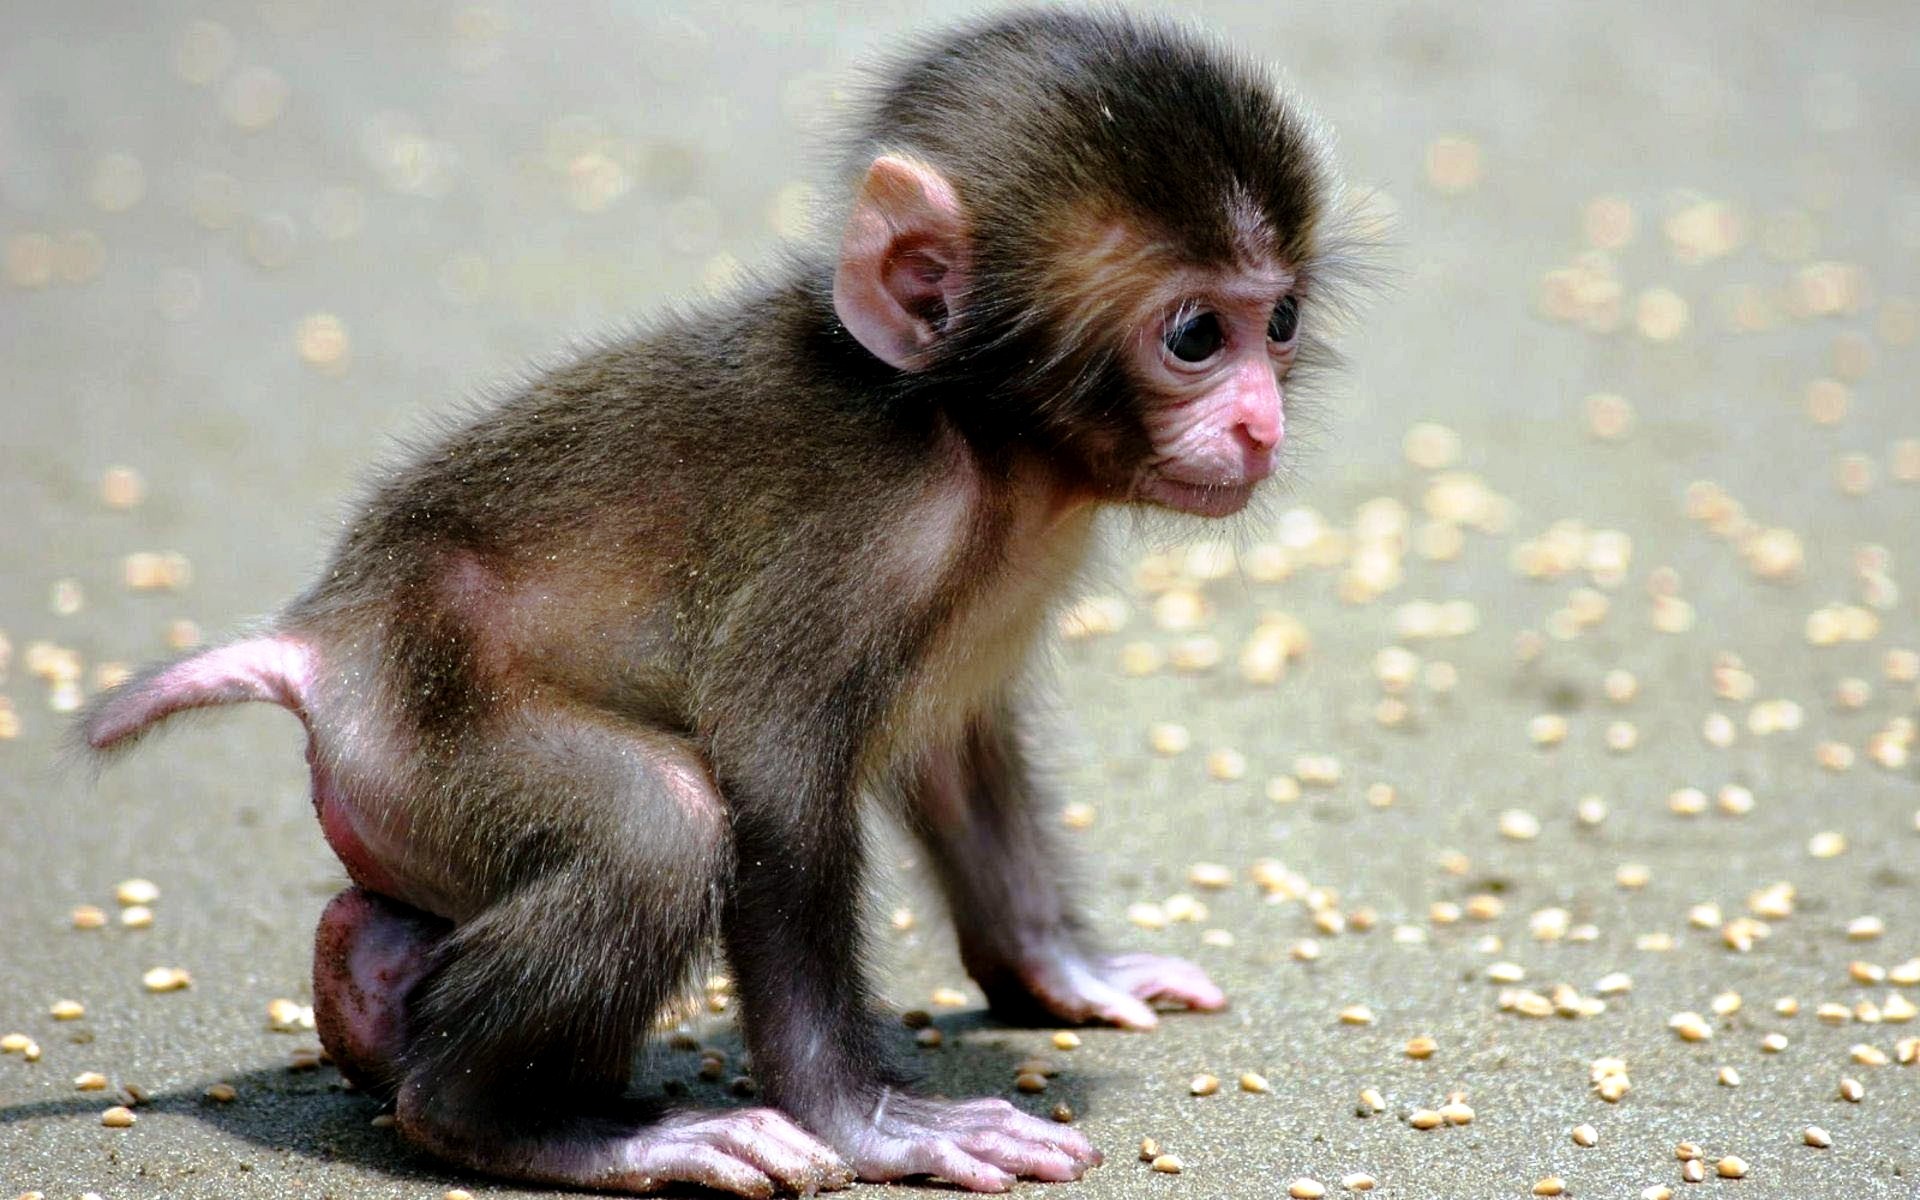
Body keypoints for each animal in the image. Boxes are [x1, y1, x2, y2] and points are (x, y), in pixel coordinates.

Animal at [80, 9, 1356, 1196]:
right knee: (660, 824)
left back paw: (371, 992)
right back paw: (523, 1124)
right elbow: (772, 774)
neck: (982, 440)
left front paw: (1061, 972)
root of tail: (324, 639)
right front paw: (870, 1122)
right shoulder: (867, 538)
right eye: (1195, 335)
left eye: (1280, 320)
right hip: (418, 733)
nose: (1260, 423)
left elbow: (950, 750)